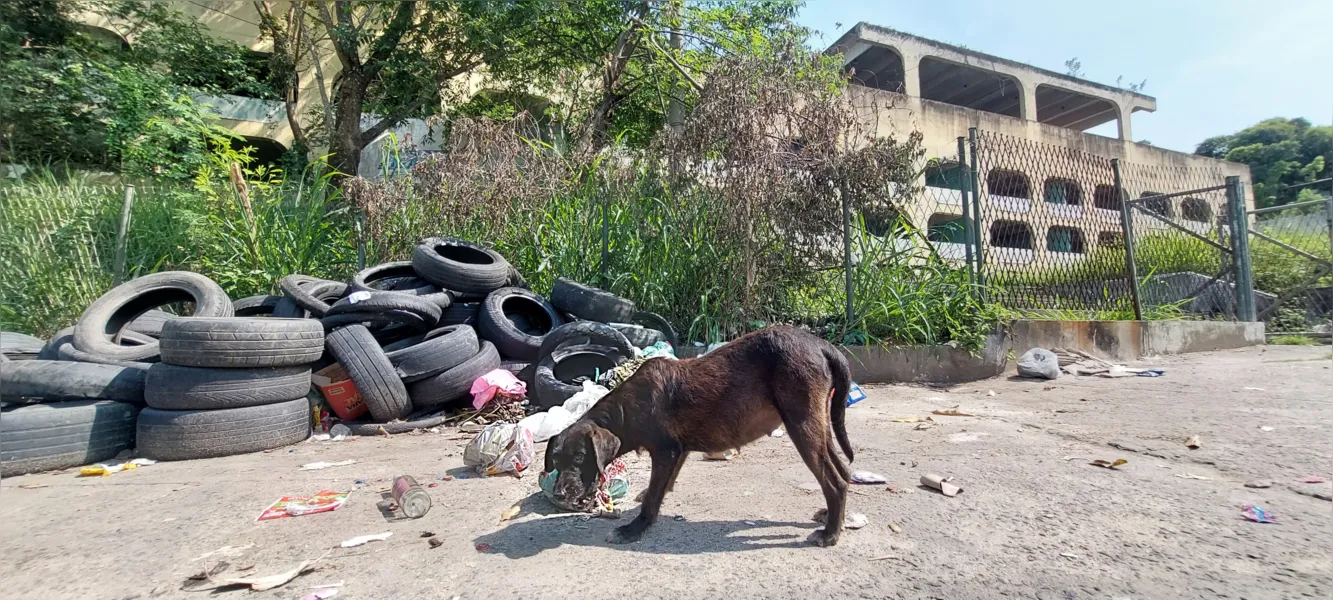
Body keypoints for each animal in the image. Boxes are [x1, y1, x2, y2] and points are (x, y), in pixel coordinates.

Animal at [541, 325, 853, 546]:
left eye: (580, 458)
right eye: (555, 461)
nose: (560, 494)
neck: (624, 410)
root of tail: (821, 345)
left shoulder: (665, 452)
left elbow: (653, 496)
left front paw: (635, 528)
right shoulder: (678, 451)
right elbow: (661, 486)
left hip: (802, 426)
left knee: (835, 482)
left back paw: (830, 534)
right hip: (818, 426)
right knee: (843, 471)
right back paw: (831, 517)